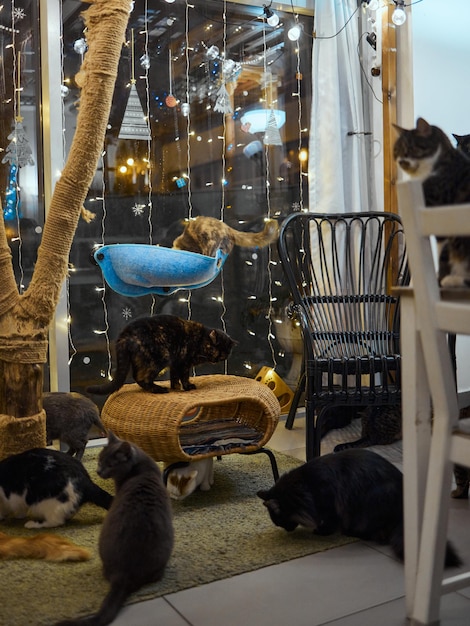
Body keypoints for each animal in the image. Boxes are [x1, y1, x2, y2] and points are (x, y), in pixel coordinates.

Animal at [85, 312, 235, 394]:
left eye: (224, 354)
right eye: (214, 349)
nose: (216, 359)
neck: (199, 340)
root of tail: (125, 334)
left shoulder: (175, 363)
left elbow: (174, 377)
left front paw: (176, 387)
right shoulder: (183, 363)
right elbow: (184, 377)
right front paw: (187, 387)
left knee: (136, 375)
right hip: (160, 357)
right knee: (141, 377)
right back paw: (158, 389)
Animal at [255, 448, 460, 564]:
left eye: (281, 520)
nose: (287, 529)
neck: (304, 486)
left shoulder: (328, 502)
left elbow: (329, 521)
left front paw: (322, 531)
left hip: (368, 506)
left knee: (379, 536)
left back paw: (352, 533)